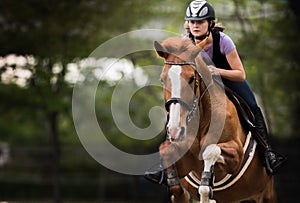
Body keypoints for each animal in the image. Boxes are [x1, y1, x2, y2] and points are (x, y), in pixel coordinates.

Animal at [155, 36, 276, 203]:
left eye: (192, 78)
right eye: (162, 80)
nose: (175, 130)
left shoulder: (236, 155)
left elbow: (210, 152)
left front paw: (207, 184)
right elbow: (166, 153)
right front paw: (178, 190)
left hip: (266, 193)